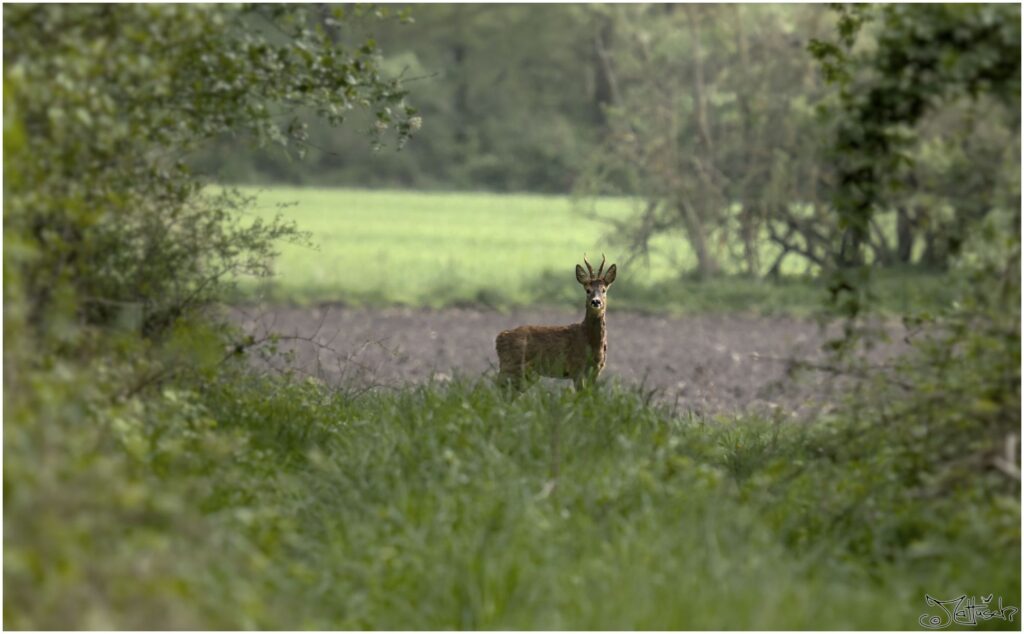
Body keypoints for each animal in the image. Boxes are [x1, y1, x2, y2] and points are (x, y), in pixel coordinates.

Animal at [495, 255, 614, 389]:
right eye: (588, 290)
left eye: (604, 290)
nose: (596, 302)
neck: (590, 341)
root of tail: (500, 338)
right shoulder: (576, 366)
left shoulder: (597, 370)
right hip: (510, 366)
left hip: (526, 374)